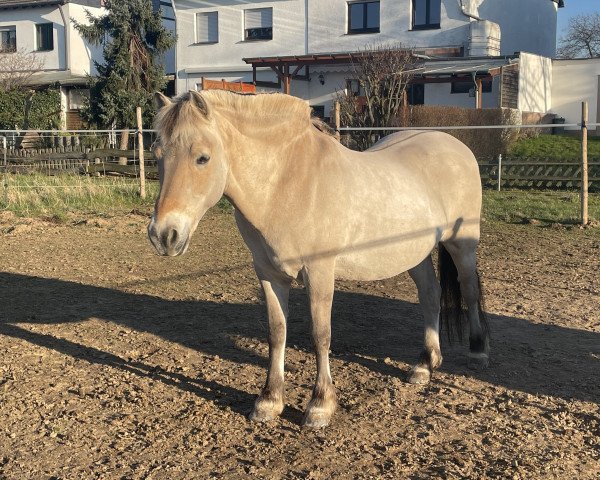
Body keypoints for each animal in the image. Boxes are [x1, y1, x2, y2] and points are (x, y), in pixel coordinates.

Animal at [148, 89, 490, 428]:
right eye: (158, 155)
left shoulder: (319, 271)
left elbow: (320, 334)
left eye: (202, 157)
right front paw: (269, 401)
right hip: (413, 254)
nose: (164, 235)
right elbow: (277, 332)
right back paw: (424, 364)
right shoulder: (268, 272)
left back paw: (477, 350)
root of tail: (455, 145)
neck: (285, 183)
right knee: (431, 295)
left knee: (469, 290)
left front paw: (320, 405)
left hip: (461, 245)